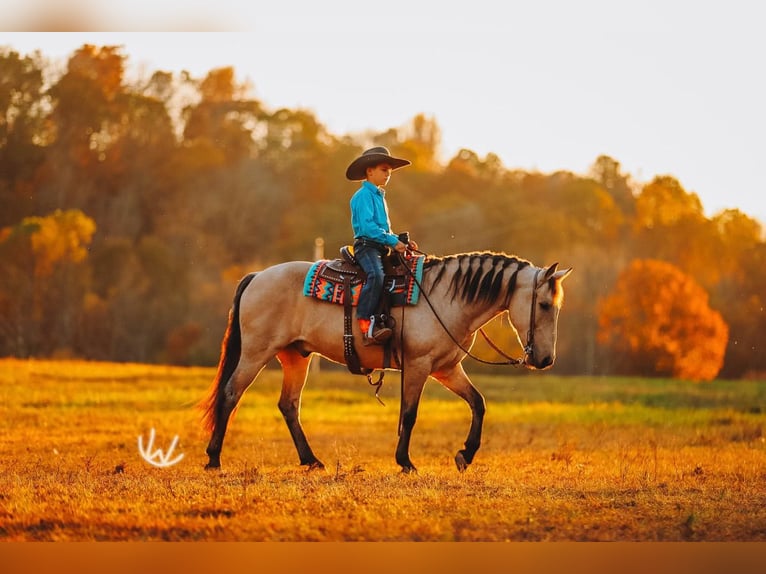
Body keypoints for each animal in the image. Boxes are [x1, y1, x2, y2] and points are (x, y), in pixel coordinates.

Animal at [201, 250, 572, 473]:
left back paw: (312, 460)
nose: (545, 359)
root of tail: (257, 276)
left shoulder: (447, 368)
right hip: (256, 352)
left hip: (295, 356)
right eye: (543, 305)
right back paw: (214, 458)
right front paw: (405, 461)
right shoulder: (419, 365)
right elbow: (409, 414)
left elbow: (477, 403)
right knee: (231, 394)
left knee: (289, 405)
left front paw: (465, 455)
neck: (446, 298)